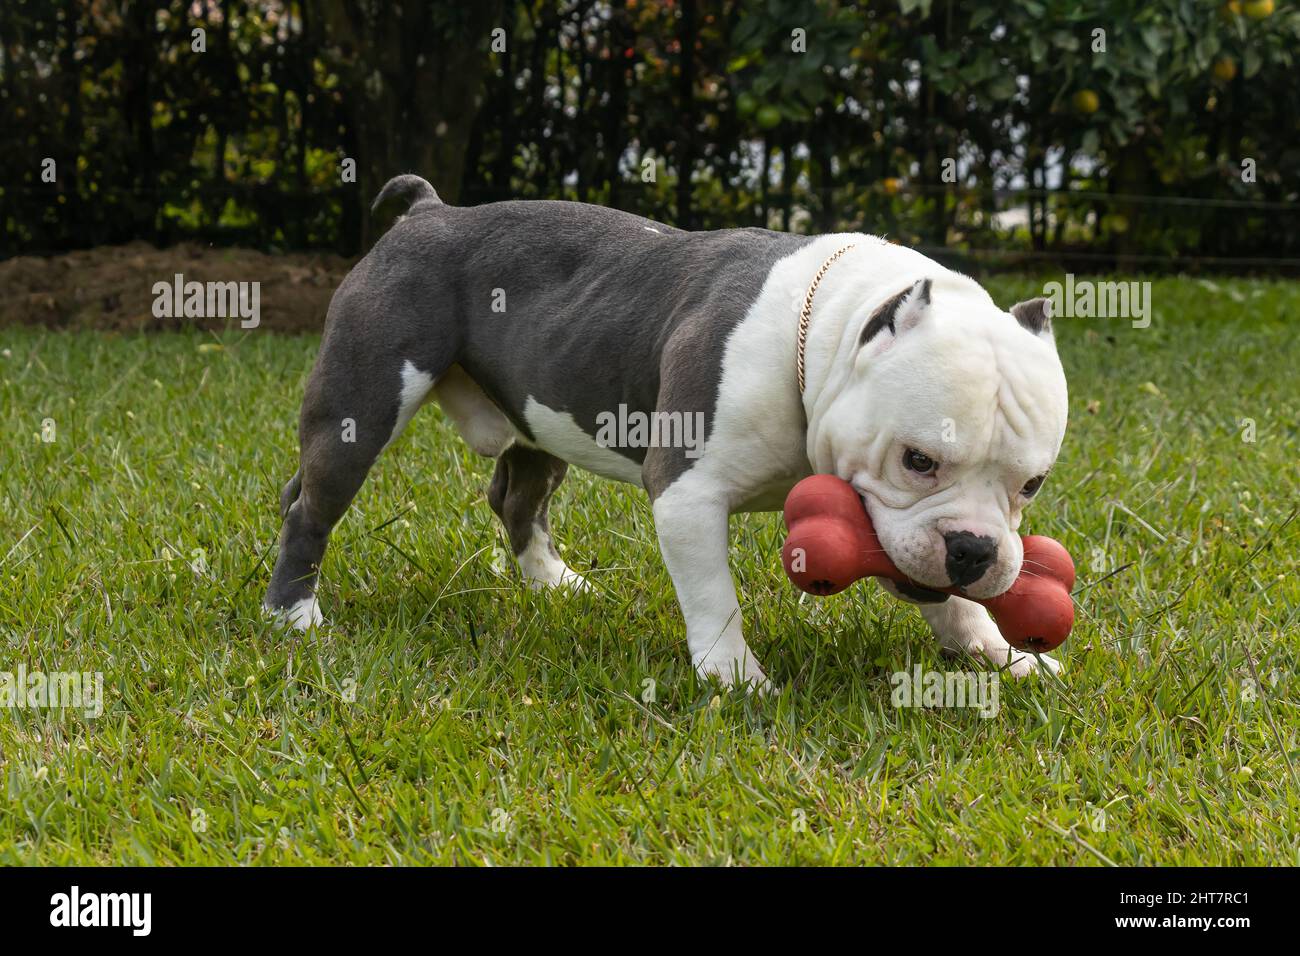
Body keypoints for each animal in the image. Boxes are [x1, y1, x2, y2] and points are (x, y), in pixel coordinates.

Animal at [263, 175, 1066, 686]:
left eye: (1031, 484)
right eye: (917, 460)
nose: (973, 548)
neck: (821, 336)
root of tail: (429, 210)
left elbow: (950, 602)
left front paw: (999, 655)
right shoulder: (688, 493)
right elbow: (714, 594)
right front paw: (735, 678)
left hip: (539, 419)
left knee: (517, 500)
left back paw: (555, 584)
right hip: (363, 403)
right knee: (312, 507)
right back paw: (293, 617)